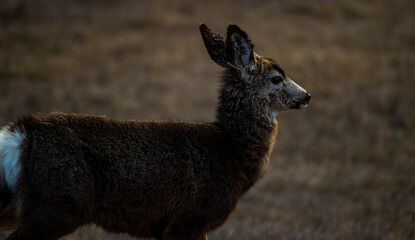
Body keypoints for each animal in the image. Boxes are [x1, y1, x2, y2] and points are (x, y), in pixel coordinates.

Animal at [0, 23, 310, 240]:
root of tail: (19, 136)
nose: (307, 96)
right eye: (276, 78)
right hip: (54, 206)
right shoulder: (190, 220)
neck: (231, 153)